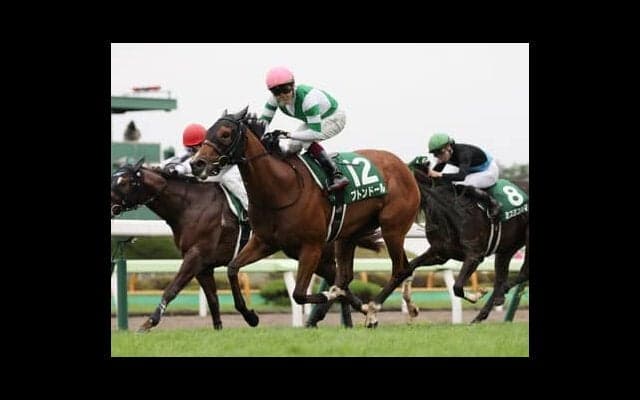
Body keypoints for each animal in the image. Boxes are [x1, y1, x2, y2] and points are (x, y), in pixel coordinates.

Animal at [110, 159, 380, 331]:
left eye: (123, 182)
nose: (110, 204)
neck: (189, 206)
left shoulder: (195, 257)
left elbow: (172, 289)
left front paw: (149, 322)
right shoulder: (203, 266)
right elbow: (213, 301)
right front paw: (220, 328)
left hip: (314, 252)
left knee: (340, 279)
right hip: (307, 254)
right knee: (340, 280)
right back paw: (359, 313)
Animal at [190, 107, 421, 327]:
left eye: (225, 134)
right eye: (207, 132)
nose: (196, 163)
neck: (282, 187)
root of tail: (403, 166)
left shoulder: (311, 247)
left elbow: (299, 294)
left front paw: (334, 296)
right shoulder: (265, 242)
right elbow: (232, 268)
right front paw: (250, 316)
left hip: (393, 228)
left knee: (400, 269)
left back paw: (373, 309)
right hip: (348, 236)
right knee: (355, 274)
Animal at [408, 161, 529, 323]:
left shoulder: (474, 255)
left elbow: (457, 287)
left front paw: (476, 295)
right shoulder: (441, 254)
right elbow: (411, 266)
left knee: (522, 273)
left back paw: (499, 295)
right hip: (506, 249)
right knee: (503, 278)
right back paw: (483, 313)